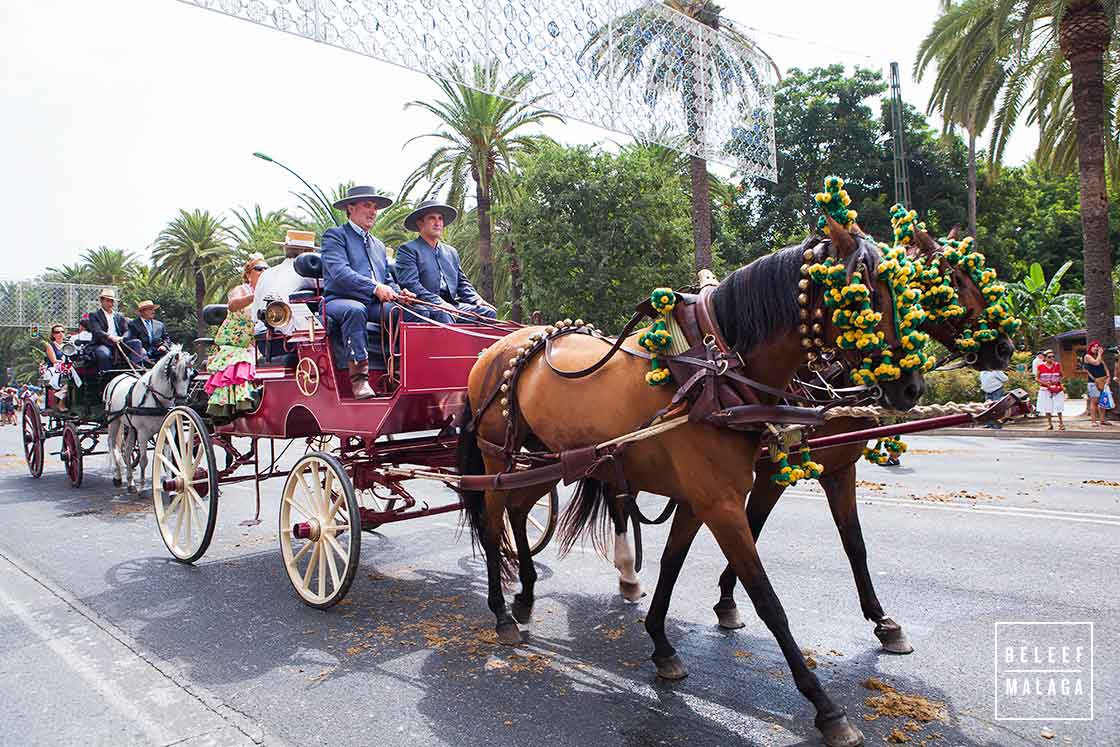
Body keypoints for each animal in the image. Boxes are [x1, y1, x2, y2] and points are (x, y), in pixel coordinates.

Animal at [103, 347, 194, 497]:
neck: (156, 397)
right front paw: (141, 488)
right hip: (114, 420)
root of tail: (117, 377)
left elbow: (167, 457)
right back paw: (118, 477)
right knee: (112, 444)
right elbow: (144, 460)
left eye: (191, 376)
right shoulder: (143, 433)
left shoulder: (168, 429)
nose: (182, 401)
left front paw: (171, 489)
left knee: (127, 451)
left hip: (131, 427)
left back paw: (130, 483)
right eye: (174, 375)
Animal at [456, 228, 927, 747]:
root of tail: (493, 350)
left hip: (547, 460)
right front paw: (825, 706)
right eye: (861, 296)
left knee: (518, 509)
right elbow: (768, 600)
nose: (911, 387)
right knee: (493, 518)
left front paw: (662, 645)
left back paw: (524, 595)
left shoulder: (701, 499)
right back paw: (502, 613)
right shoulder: (720, 502)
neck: (716, 373)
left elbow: (672, 563)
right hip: (498, 456)